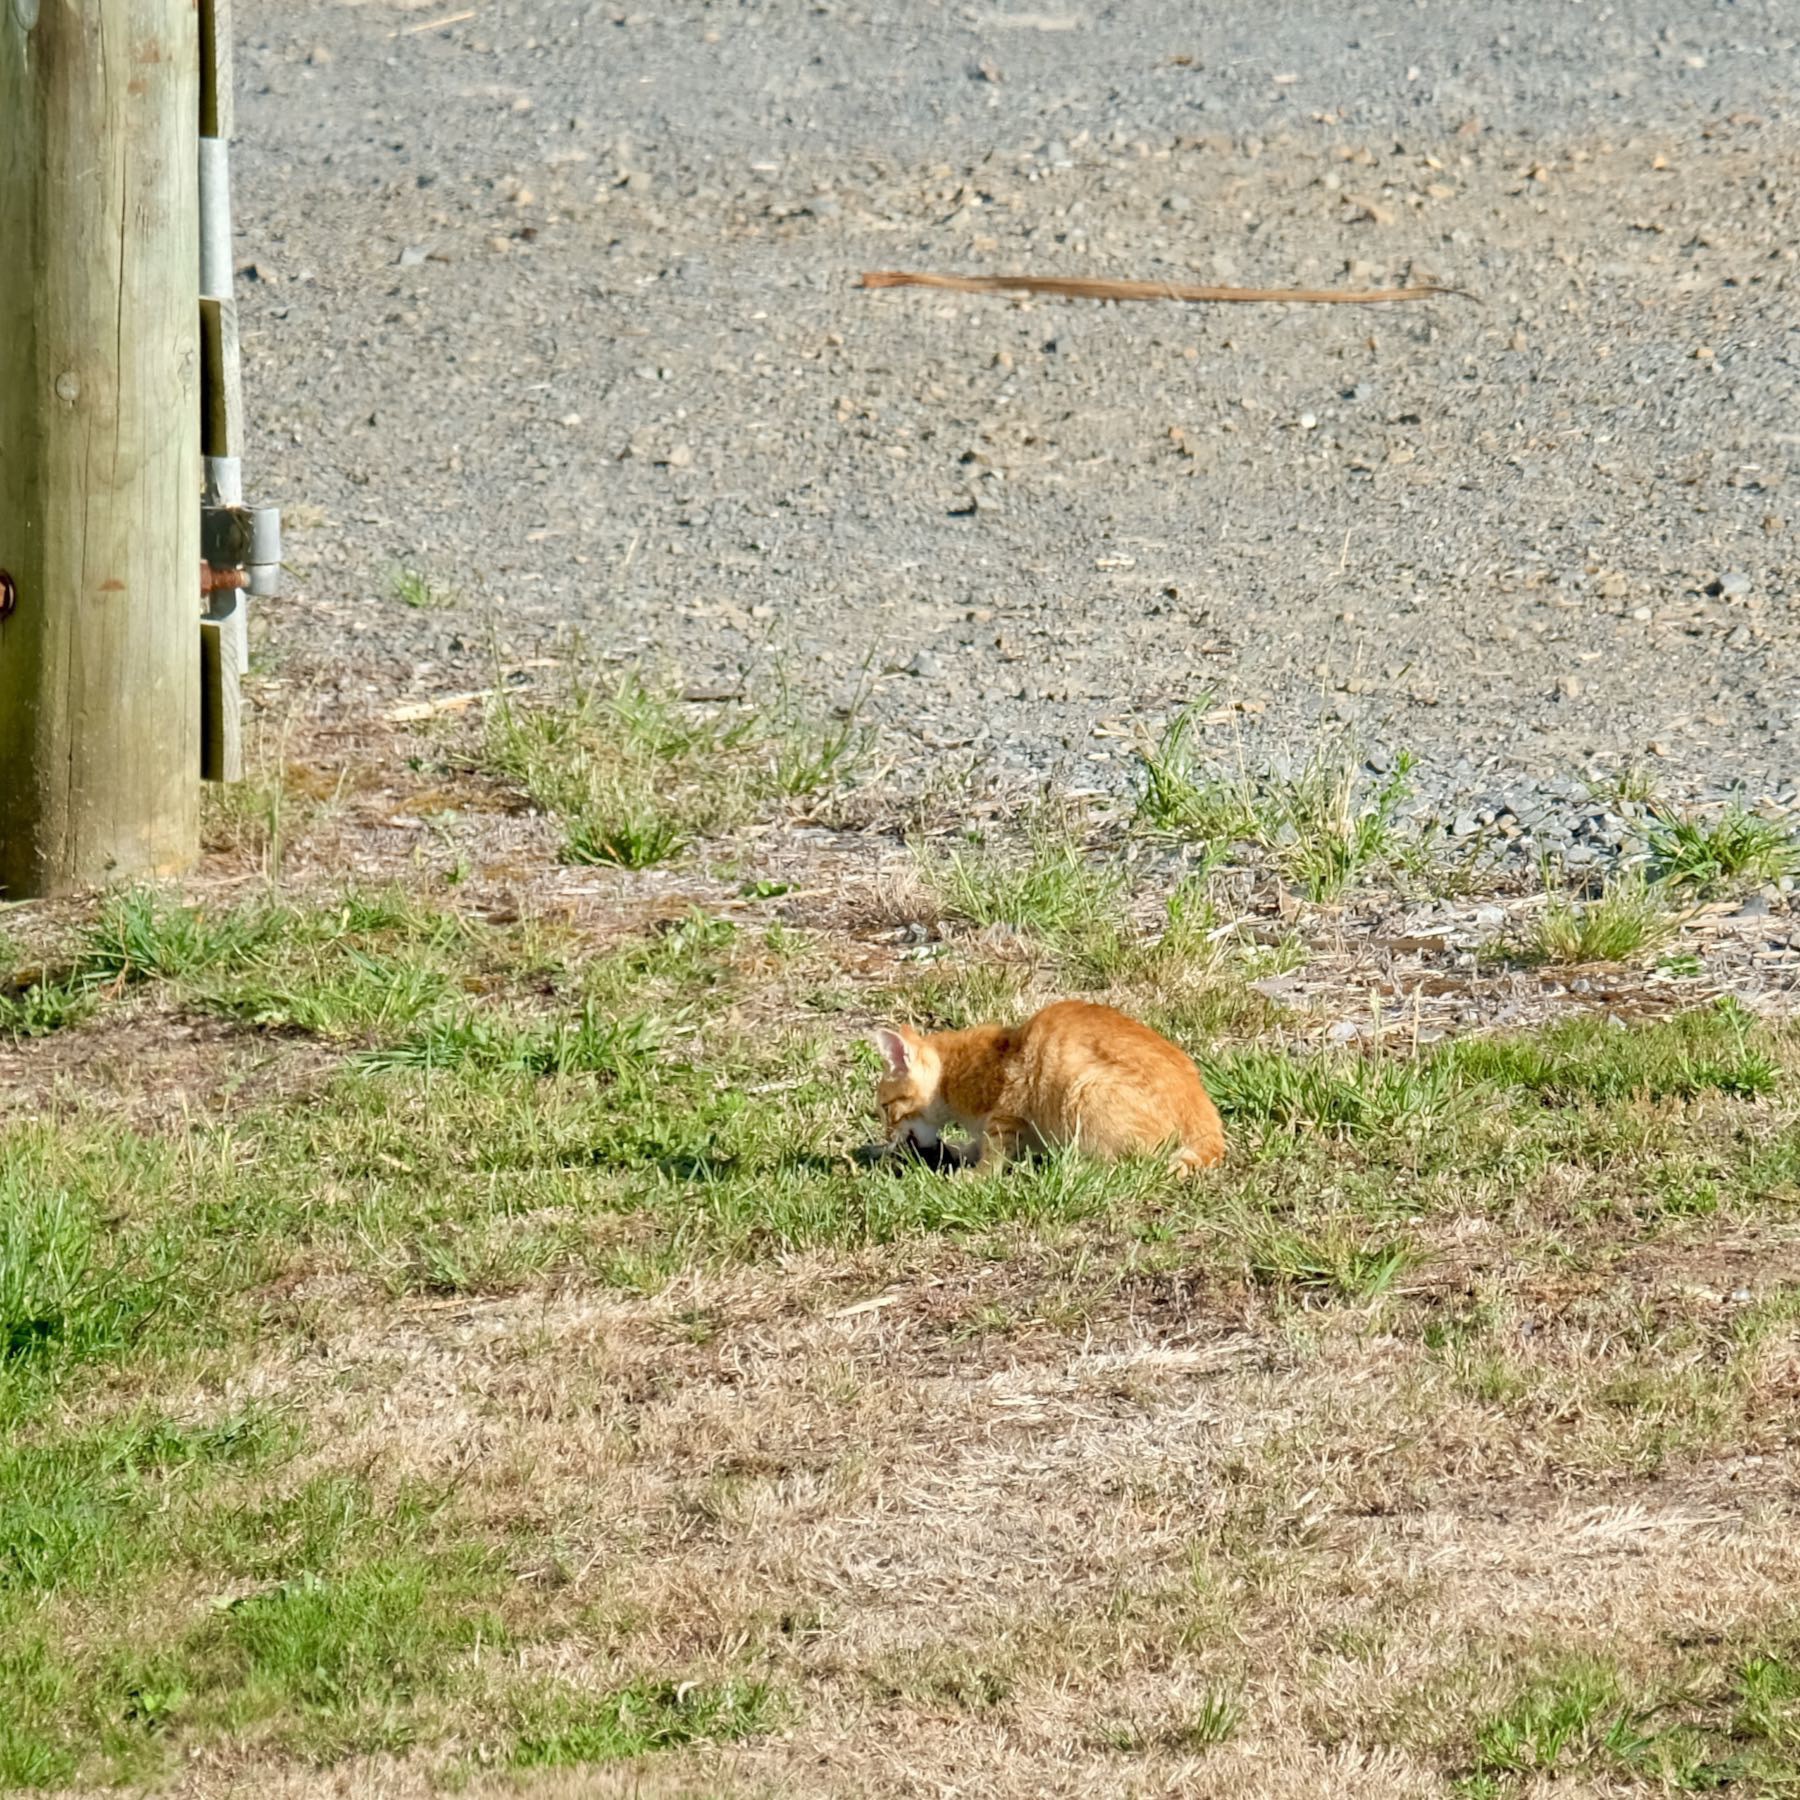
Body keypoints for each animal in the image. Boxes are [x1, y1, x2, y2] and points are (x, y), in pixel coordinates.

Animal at [871, 1000, 1224, 1180]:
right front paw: (960, 1151)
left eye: (886, 1109)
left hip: (1084, 1091)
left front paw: (972, 1177)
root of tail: (1206, 1118)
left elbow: (993, 1154)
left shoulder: (1008, 1112)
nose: (887, 1136)